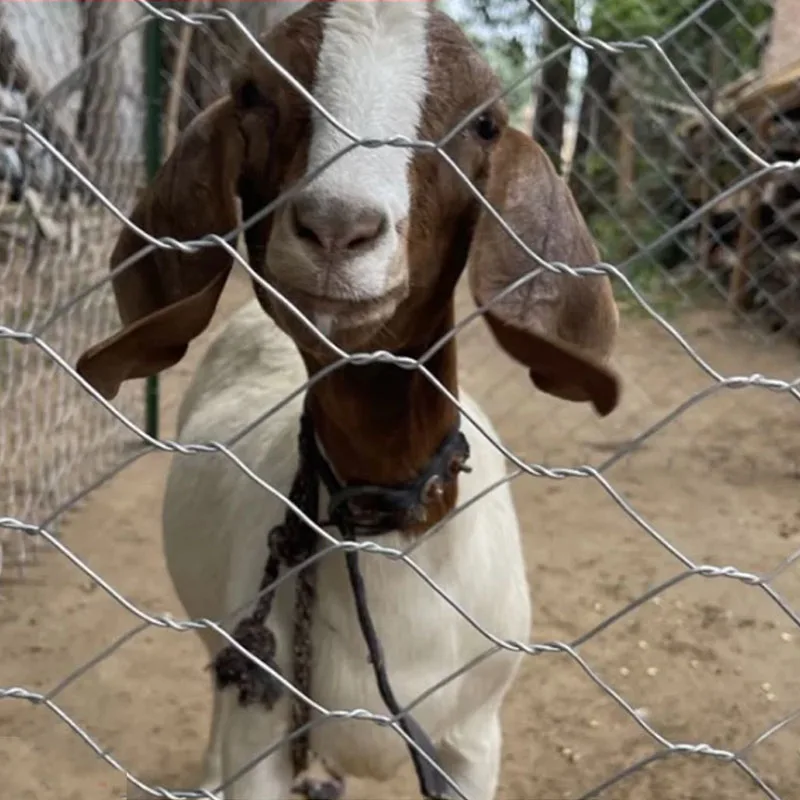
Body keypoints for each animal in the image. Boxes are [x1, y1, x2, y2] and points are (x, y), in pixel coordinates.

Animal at [76, 3, 620, 796]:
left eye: (485, 123)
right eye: (252, 94)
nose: (337, 227)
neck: (392, 536)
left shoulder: (472, 743)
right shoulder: (261, 740)